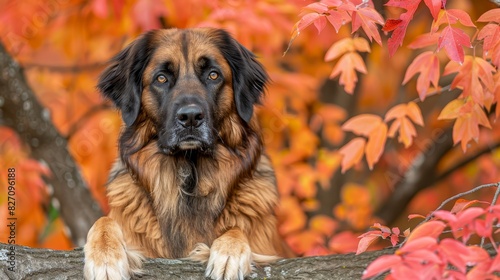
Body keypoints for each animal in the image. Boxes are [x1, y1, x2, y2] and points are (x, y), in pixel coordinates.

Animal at [83, 27, 292, 280]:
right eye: (161, 78)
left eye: (213, 75)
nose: (190, 117)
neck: (189, 172)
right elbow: (103, 221)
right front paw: (105, 258)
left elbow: (237, 228)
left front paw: (229, 254)